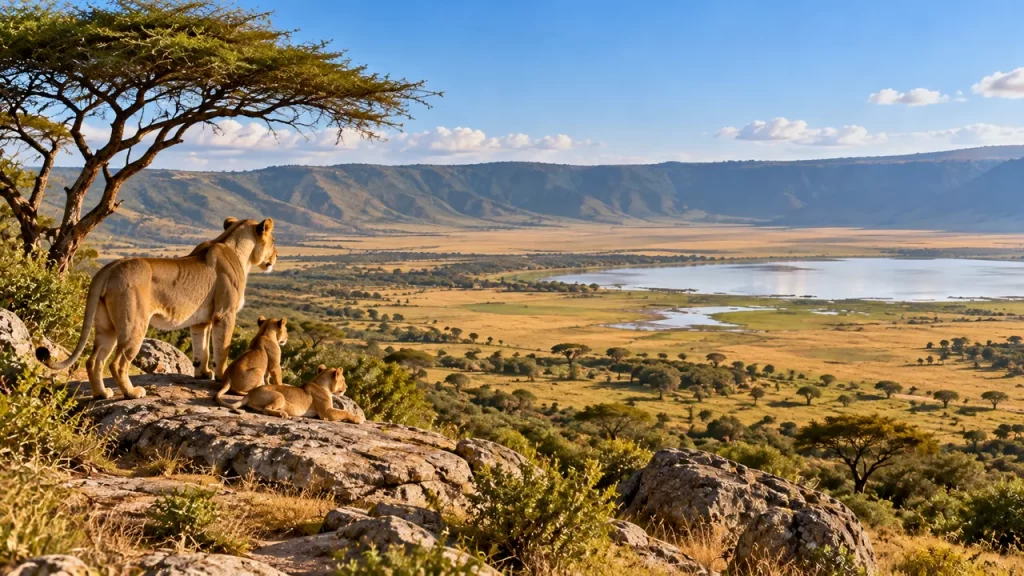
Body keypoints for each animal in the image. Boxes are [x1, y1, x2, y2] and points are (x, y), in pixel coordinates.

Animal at [36, 217, 277, 400]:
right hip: (135, 324)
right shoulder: (225, 314)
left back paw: (101, 394)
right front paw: (220, 376)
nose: (275, 257)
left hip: (106, 326)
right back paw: (132, 393)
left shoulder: (201, 321)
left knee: (94, 360)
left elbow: (202, 350)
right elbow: (223, 348)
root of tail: (109, 267)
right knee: (117, 364)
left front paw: (202, 373)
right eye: (274, 240)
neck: (238, 250)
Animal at [229, 365, 364, 423]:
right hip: (279, 396)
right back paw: (283, 414)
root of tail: (250, 393)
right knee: (267, 409)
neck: (322, 384)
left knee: (263, 409)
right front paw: (358, 418)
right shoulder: (326, 412)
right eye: (344, 380)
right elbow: (344, 412)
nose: (346, 387)